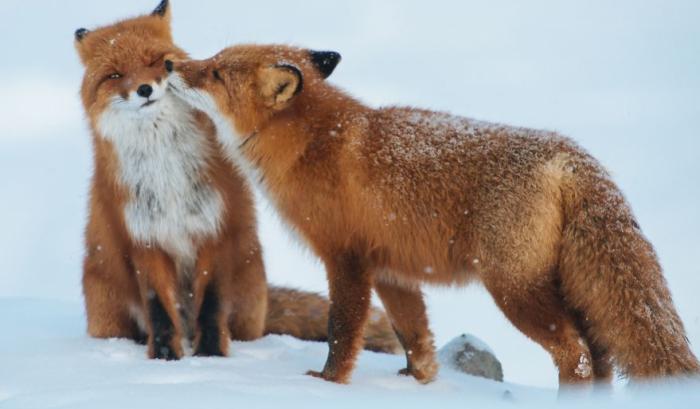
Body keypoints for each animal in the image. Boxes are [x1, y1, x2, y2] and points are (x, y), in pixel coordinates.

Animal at [75, 0, 400, 358]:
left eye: (154, 61)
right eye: (115, 75)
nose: (145, 89)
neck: (166, 170)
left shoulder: (217, 228)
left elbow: (211, 304)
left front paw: (211, 357)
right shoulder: (145, 239)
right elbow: (159, 310)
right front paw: (166, 359)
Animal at [168, 45, 700, 386]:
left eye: (215, 72)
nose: (172, 63)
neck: (314, 143)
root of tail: (570, 155)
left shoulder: (346, 259)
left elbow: (343, 332)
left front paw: (327, 383)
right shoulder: (392, 270)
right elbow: (415, 336)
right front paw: (417, 382)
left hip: (514, 290)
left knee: (579, 356)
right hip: (562, 288)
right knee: (601, 355)